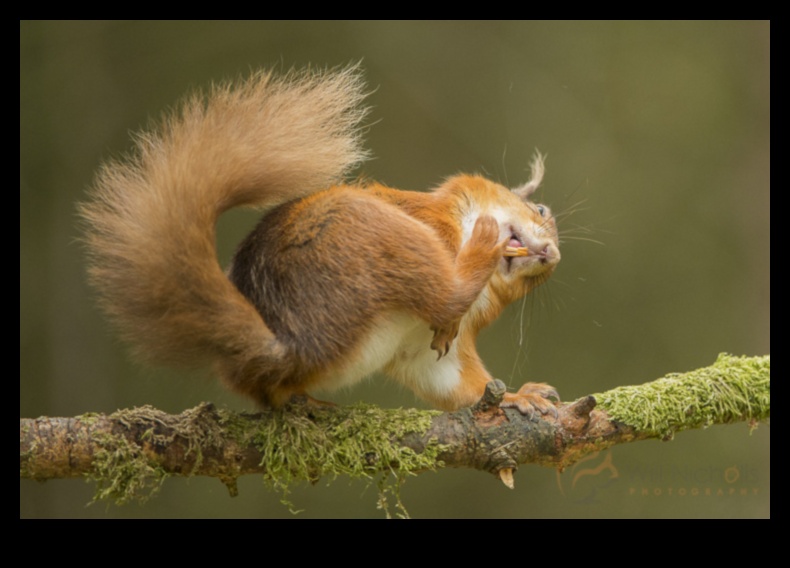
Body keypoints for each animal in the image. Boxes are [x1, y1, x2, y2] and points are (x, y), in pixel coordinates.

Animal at [82, 69, 564, 420]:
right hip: (380, 234)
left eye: (539, 282)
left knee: (273, 395)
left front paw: (515, 396)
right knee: (446, 292)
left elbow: (457, 384)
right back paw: (481, 245)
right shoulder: (432, 224)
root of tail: (287, 342)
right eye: (541, 209)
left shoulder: (429, 355)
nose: (552, 255)